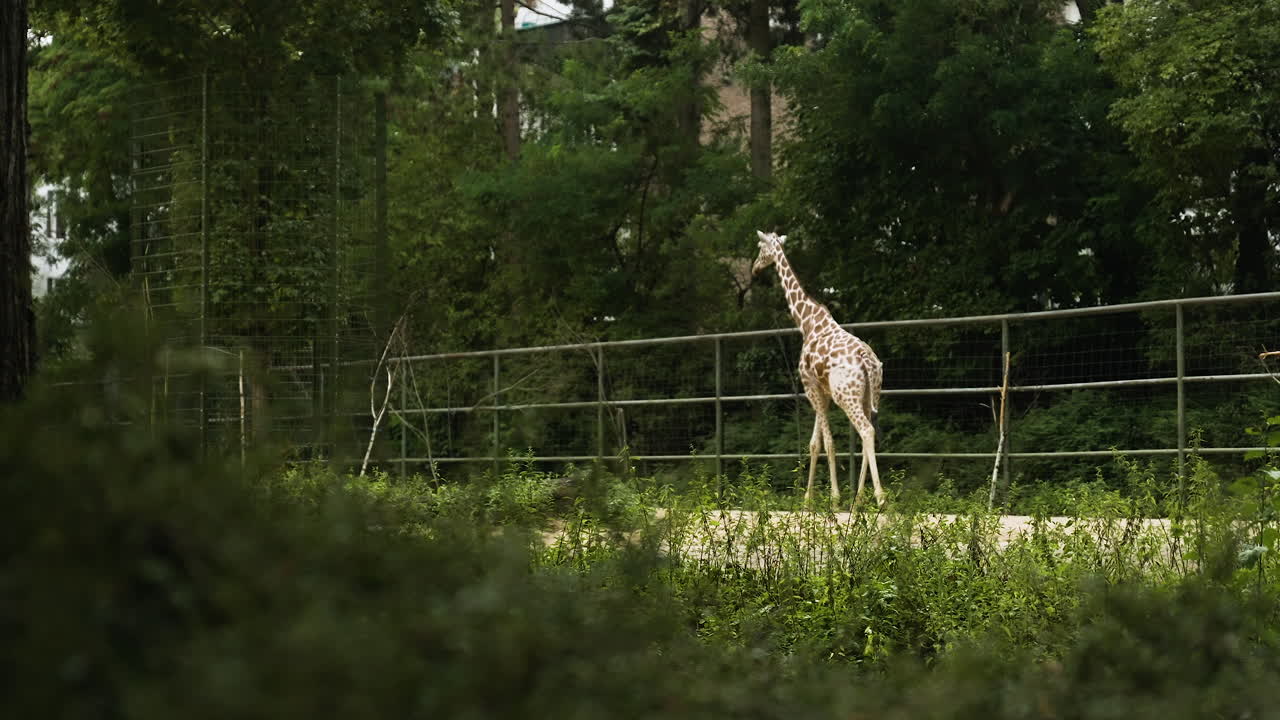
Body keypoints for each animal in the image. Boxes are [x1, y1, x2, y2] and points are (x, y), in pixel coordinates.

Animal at [751, 230, 885, 506]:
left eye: (760, 248)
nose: (755, 268)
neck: (807, 321)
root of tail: (867, 360)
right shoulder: (821, 391)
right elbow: (815, 443)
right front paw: (807, 498)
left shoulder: (810, 386)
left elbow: (828, 442)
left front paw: (833, 498)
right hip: (870, 395)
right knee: (868, 435)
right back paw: (858, 500)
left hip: (847, 397)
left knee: (866, 431)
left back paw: (879, 499)